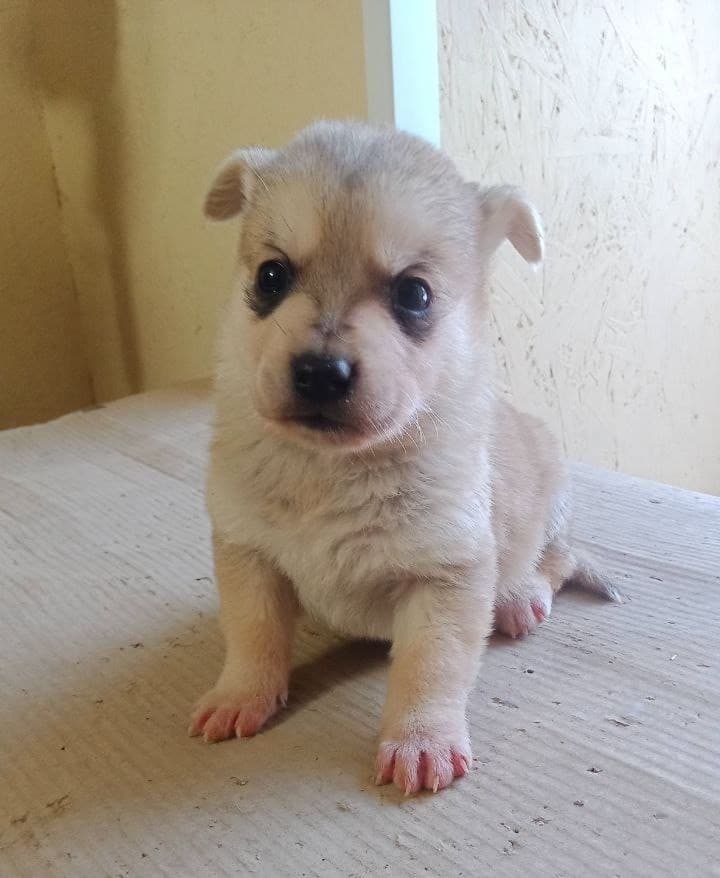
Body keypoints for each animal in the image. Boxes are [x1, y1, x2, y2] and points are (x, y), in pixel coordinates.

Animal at [189, 121, 618, 794]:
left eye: (414, 294)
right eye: (271, 278)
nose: (320, 372)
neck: (332, 470)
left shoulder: (445, 575)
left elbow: (429, 666)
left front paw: (421, 741)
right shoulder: (247, 553)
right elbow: (252, 636)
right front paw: (240, 695)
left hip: (551, 501)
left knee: (555, 558)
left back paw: (518, 597)